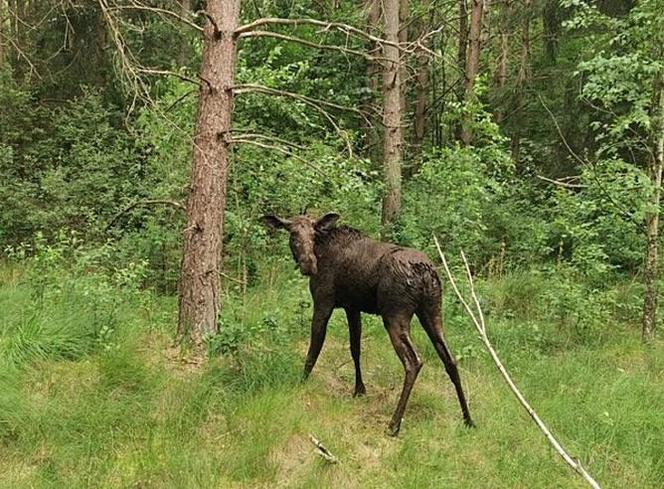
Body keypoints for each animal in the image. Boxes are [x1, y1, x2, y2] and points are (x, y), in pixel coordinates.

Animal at [262, 212, 474, 432]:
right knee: (450, 359)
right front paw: (359, 389)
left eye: (313, 234)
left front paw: (301, 383)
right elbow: (355, 348)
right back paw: (468, 419)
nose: (309, 264)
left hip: (395, 315)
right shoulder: (352, 307)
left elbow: (314, 349)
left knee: (414, 361)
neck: (322, 249)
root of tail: (425, 272)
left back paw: (394, 424)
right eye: (293, 234)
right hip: (432, 312)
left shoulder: (324, 302)